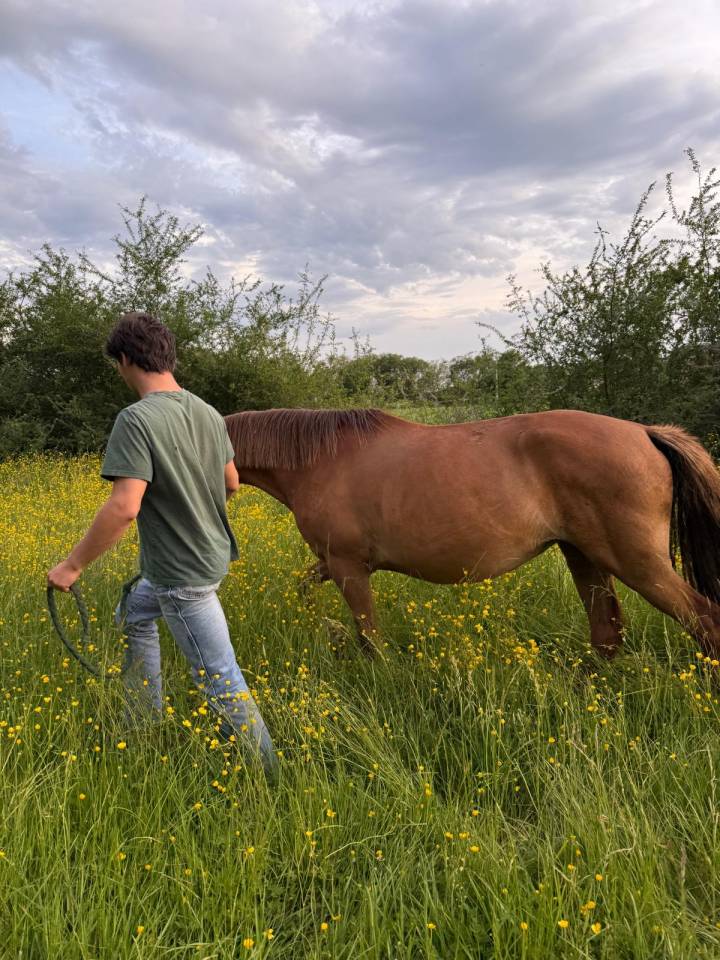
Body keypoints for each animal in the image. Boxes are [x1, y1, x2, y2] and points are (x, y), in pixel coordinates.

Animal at [224, 407, 720, 660]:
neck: (320, 460)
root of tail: (645, 432)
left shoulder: (349, 567)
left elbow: (370, 637)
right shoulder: (335, 563)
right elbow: (303, 586)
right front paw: (325, 628)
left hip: (637, 563)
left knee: (704, 620)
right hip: (584, 555)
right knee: (607, 633)